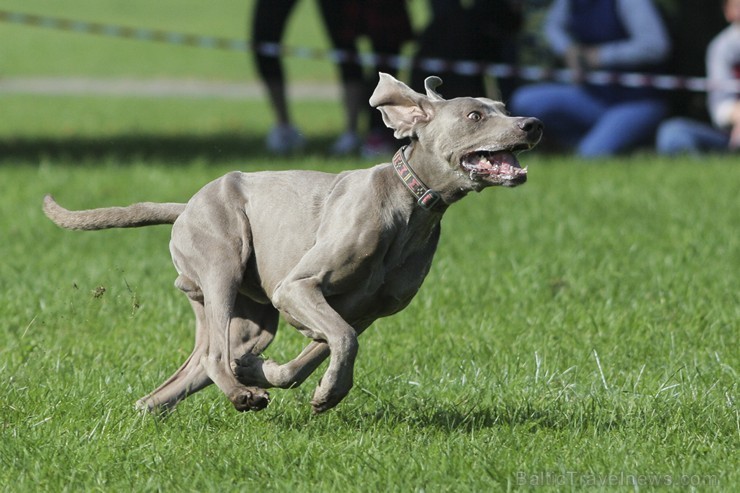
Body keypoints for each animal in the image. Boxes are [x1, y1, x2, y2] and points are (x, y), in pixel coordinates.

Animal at [46, 72, 544, 412]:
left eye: (502, 105)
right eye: (475, 115)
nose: (533, 123)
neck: (410, 203)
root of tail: (186, 205)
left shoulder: (368, 309)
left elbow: (323, 349)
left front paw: (287, 378)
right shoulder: (298, 287)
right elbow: (341, 339)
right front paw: (323, 392)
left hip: (252, 313)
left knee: (200, 365)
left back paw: (171, 401)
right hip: (222, 262)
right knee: (214, 354)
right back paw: (242, 393)